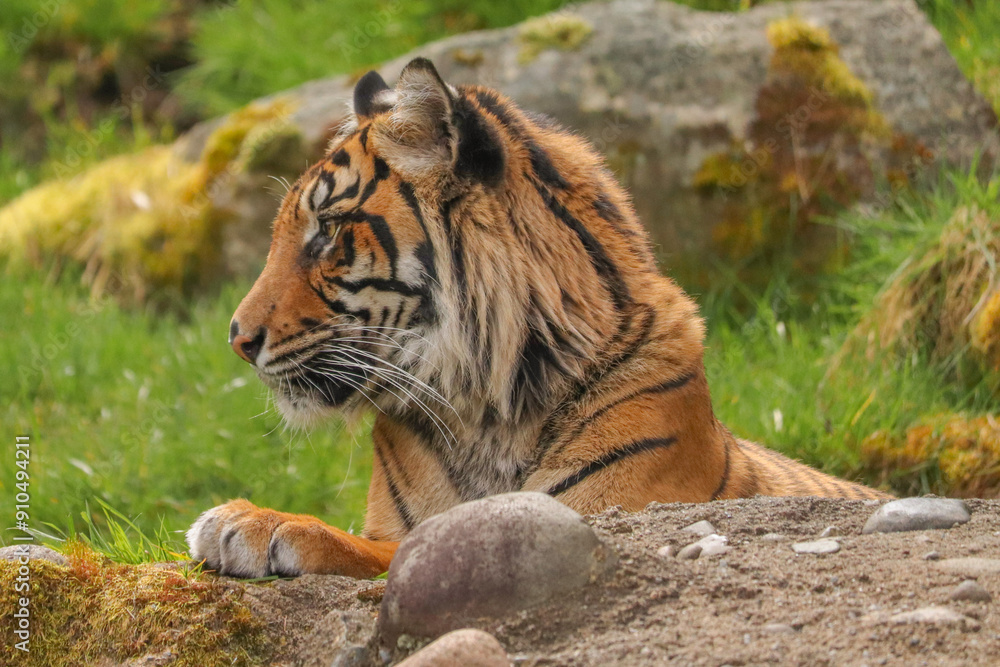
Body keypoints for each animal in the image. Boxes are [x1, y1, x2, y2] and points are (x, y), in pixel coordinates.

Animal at [186, 58, 889, 579]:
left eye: (327, 232)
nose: (237, 339)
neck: (485, 409)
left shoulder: (611, 510)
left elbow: (405, 552)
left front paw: (259, 523)